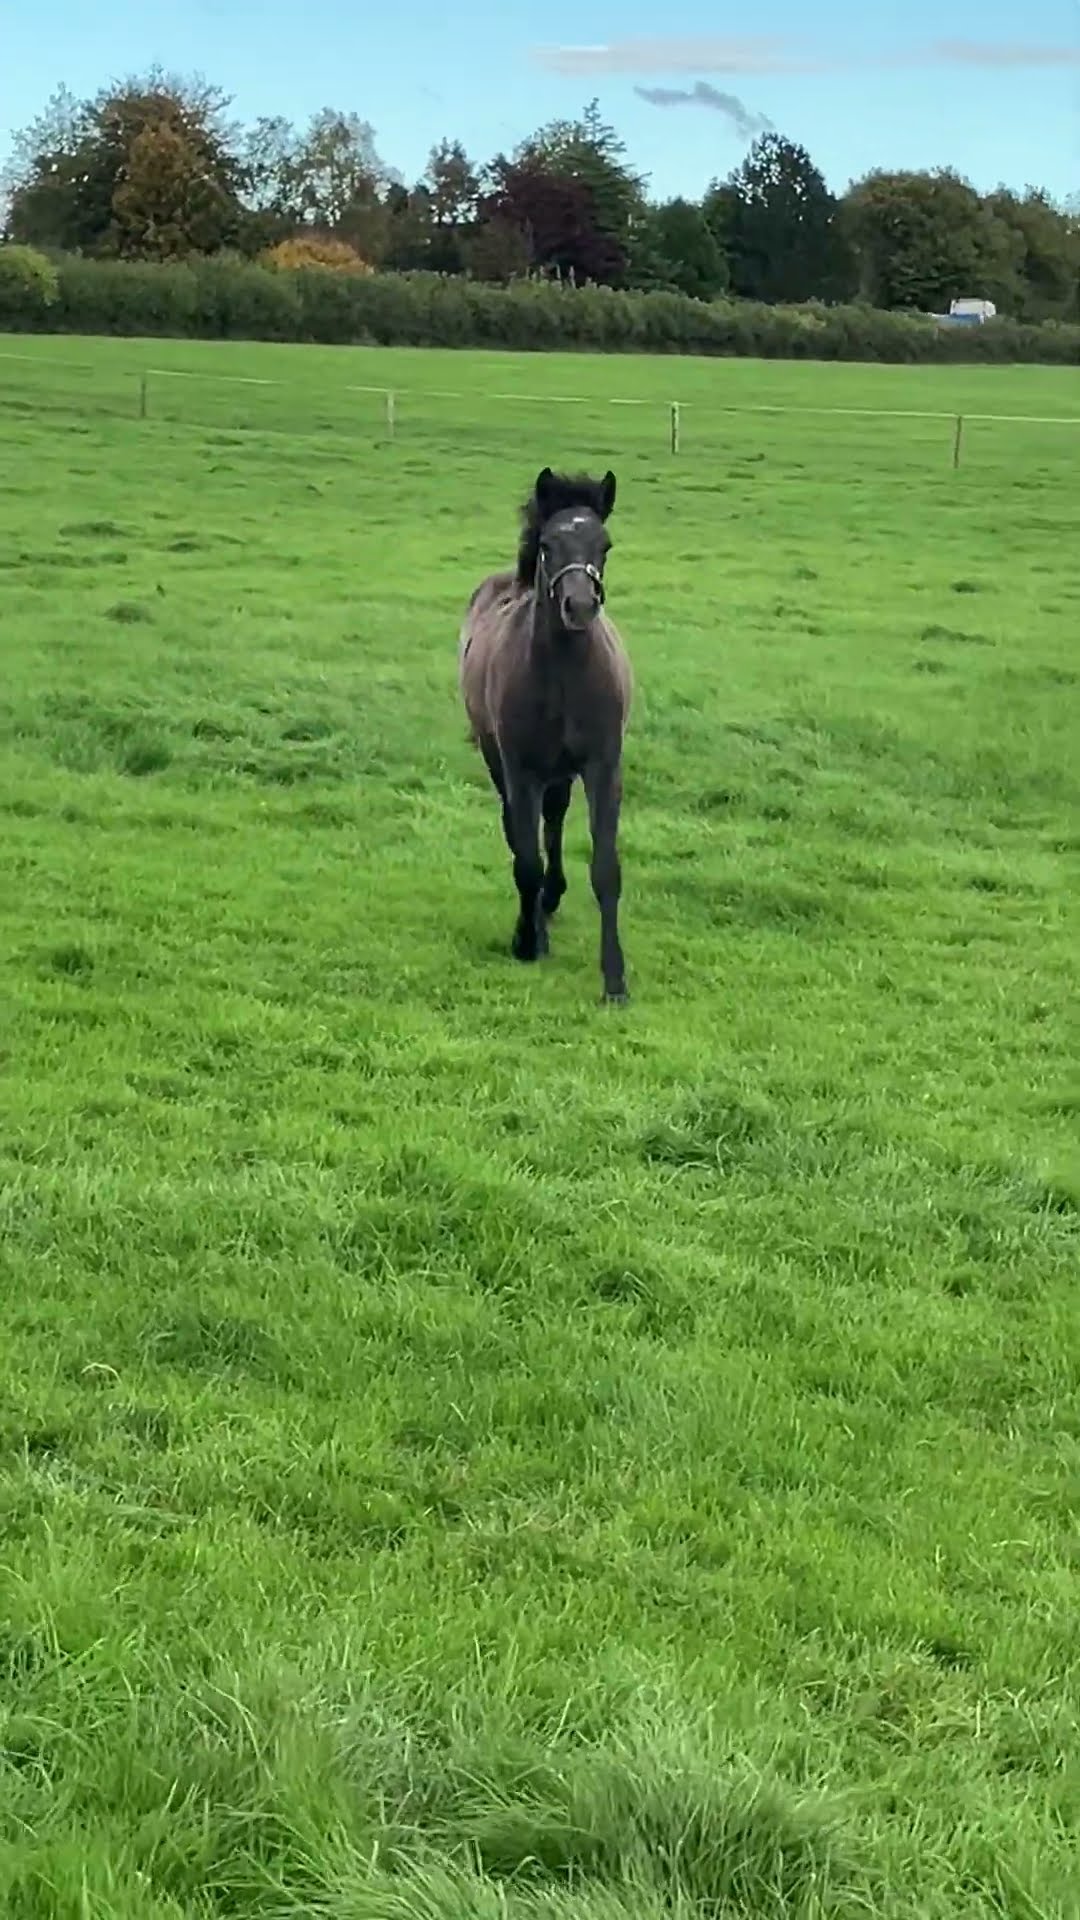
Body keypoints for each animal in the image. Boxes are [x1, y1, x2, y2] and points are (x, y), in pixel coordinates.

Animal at [458, 466, 633, 1004]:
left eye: (605, 544)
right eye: (548, 545)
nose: (580, 606)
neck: (563, 676)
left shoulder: (602, 766)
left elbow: (605, 868)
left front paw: (615, 980)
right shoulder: (521, 768)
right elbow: (526, 858)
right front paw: (526, 940)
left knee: (552, 820)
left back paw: (552, 899)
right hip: (498, 759)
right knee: (519, 831)